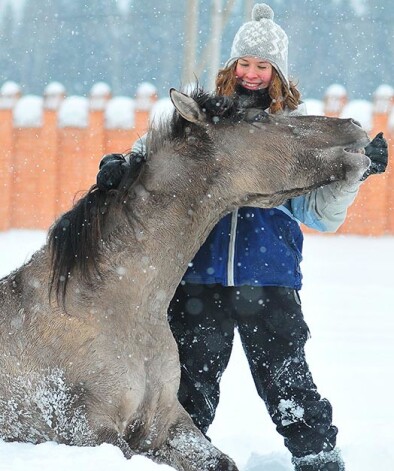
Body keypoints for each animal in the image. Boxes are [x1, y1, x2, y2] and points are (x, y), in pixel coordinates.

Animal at [0, 86, 370, 470]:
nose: (353, 124)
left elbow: (221, 462)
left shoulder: (166, 422)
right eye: (258, 118)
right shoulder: (85, 430)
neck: (110, 307)